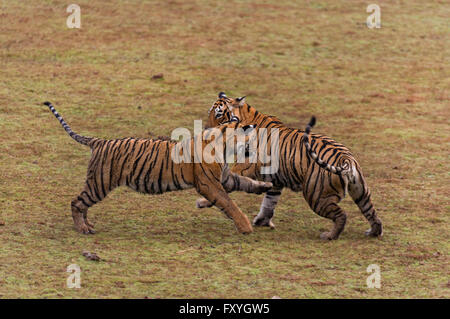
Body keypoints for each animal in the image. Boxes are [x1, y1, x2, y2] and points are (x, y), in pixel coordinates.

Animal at [44, 102, 274, 235]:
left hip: (97, 184)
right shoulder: (209, 184)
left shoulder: (225, 178)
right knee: (76, 202)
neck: (225, 147)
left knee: (82, 204)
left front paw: (265, 186)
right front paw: (245, 227)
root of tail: (99, 141)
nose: (259, 149)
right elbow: (229, 204)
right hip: (100, 183)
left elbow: (246, 182)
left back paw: (88, 225)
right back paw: (82, 228)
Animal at [195, 94, 382, 241]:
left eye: (219, 114)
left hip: (317, 196)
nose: (207, 130)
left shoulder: (243, 167)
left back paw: (330, 236)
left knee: (341, 215)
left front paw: (202, 202)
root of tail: (346, 158)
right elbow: (268, 203)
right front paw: (262, 221)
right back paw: (374, 232)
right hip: (360, 191)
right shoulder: (276, 181)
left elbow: (223, 186)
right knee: (372, 213)